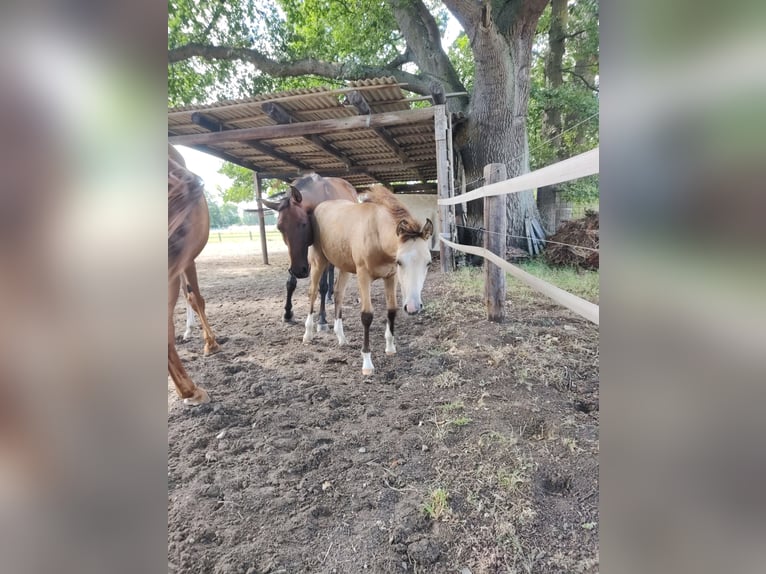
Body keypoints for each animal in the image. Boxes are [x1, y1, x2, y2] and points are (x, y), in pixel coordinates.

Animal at [262, 173, 358, 328]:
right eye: (279, 228)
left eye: (303, 223)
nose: (300, 271)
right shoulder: (295, 256)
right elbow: (290, 283)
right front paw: (287, 313)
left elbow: (322, 285)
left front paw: (322, 318)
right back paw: (330, 296)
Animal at [304, 187, 436, 378]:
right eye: (400, 262)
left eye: (428, 263)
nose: (413, 308)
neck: (377, 234)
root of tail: (320, 207)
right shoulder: (363, 275)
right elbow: (367, 315)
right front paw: (367, 363)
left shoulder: (390, 276)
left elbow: (391, 310)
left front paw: (390, 347)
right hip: (318, 261)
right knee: (313, 293)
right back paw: (308, 334)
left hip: (344, 265)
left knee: (338, 293)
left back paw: (341, 337)